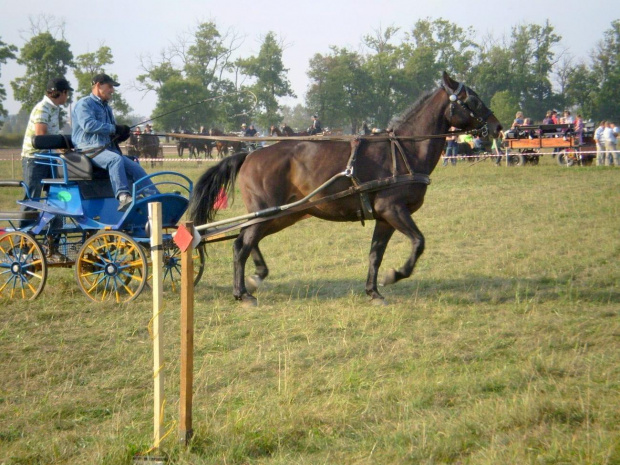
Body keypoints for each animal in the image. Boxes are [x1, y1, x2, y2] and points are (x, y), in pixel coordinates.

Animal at [190, 72, 504, 304]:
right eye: (472, 100)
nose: (498, 127)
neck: (404, 150)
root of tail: (250, 154)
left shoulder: (385, 216)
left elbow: (375, 254)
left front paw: (374, 291)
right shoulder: (393, 209)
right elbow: (419, 242)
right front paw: (396, 274)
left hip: (282, 214)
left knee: (246, 239)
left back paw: (256, 277)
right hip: (268, 212)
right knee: (240, 244)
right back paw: (241, 293)